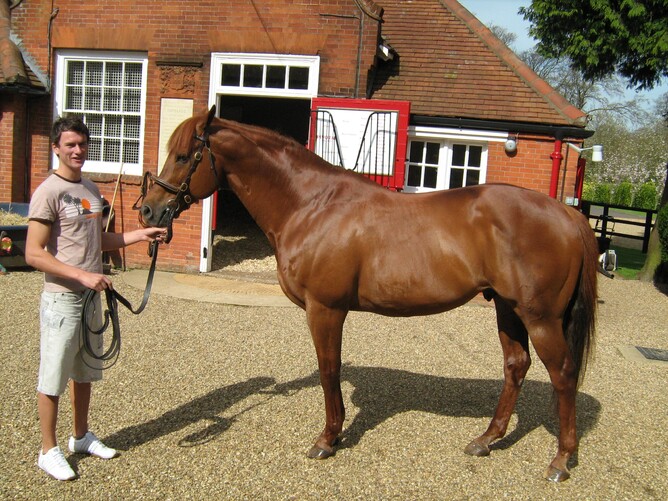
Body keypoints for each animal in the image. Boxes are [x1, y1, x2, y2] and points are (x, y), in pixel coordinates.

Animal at [136, 106, 598, 482]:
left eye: (183, 156)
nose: (148, 210)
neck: (311, 205)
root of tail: (567, 214)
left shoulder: (325, 309)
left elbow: (329, 370)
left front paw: (328, 439)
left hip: (540, 318)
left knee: (563, 374)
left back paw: (560, 461)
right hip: (508, 309)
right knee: (516, 367)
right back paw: (486, 439)